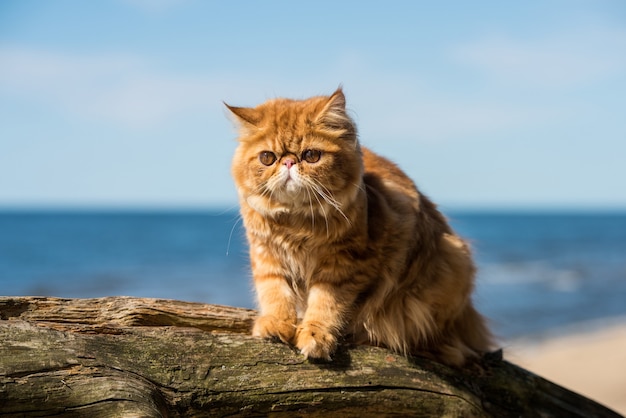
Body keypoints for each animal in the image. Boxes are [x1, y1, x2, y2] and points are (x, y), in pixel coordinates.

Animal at [227, 88, 490, 366]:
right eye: (268, 158)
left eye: (311, 155)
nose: (288, 163)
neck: (296, 223)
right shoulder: (267, 256)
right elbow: (275, 293)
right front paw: (276, 325)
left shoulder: (344, 267)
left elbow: (325, 305)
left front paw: (315, 336)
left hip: (449, 263)